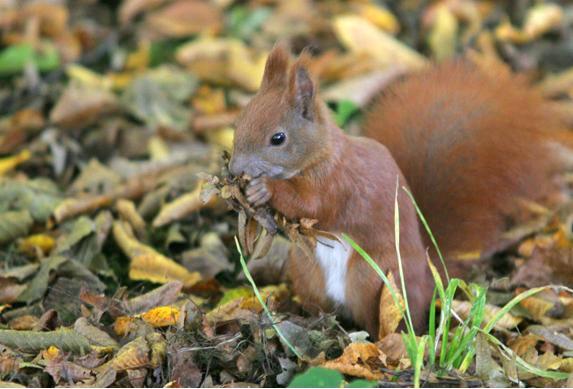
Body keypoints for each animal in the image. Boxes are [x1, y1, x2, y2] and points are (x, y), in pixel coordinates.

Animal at [227, 44, 568, 336]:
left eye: (278, 138)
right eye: (238, 122)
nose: (233, 170)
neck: (319, 156)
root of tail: (429, 278)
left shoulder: (338, 184)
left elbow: (312, 205)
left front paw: (264, 189)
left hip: (373, 277)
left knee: (385, 321)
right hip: (305, 271)